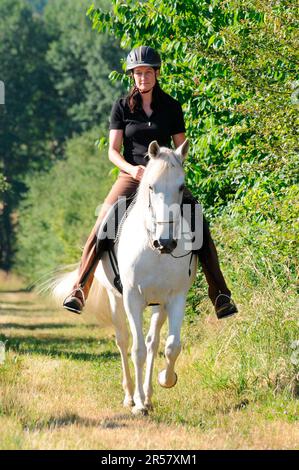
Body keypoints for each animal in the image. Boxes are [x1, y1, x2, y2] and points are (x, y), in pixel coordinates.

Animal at [53, 140, 199, 414]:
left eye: (181, 186)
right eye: (151, 186)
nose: (166, 243)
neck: (154, 249)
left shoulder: (175, 298)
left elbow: (171, 346)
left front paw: (166, 380)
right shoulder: (132, 298)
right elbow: (137, 349)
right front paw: (139, 405)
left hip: (158, 305)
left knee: (153, 342)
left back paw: (149, 395)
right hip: (116, 298)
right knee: (123, 341)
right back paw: (131, 396)